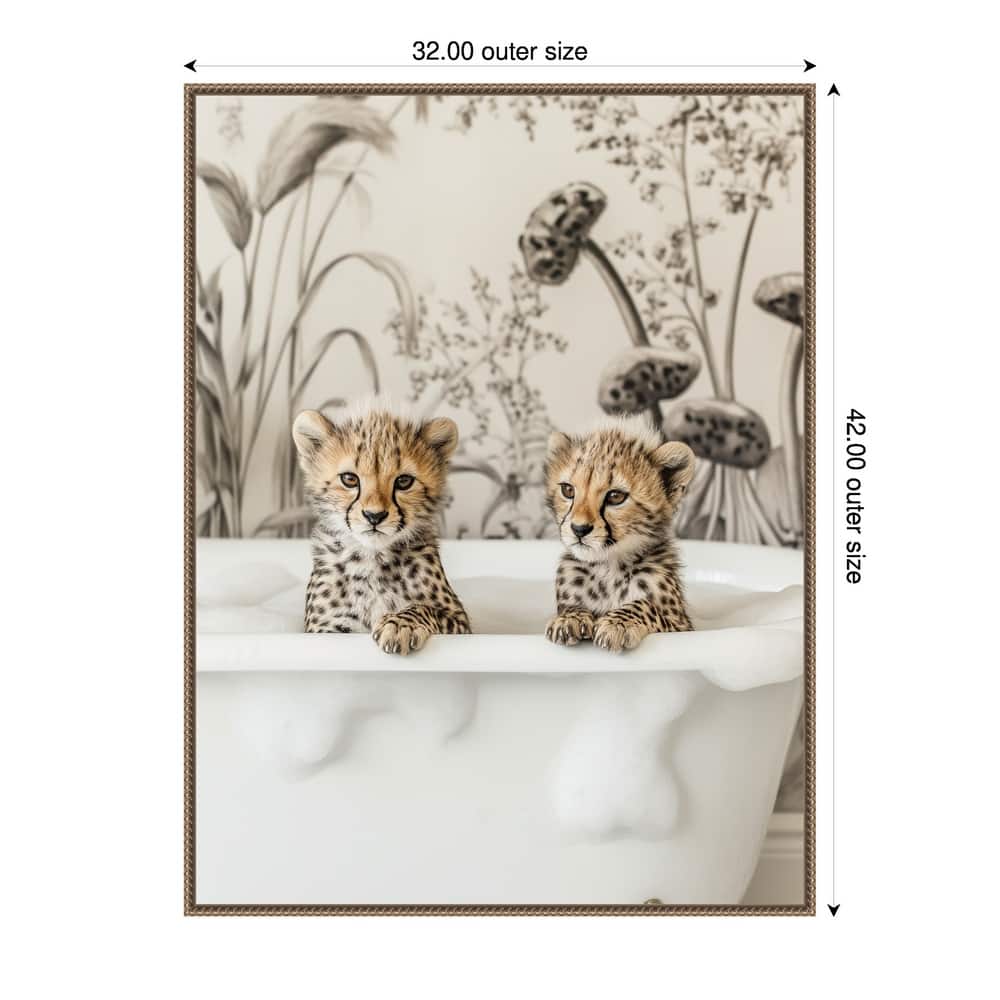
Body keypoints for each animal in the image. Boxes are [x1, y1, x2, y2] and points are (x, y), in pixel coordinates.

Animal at [292, 402, 470, 655]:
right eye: (349, 479)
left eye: (404, 481)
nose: (374, 516)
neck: (373, 558)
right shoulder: (325, 628)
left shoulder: (459, 619)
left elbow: (423, 607)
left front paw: (400, 625)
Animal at [543, 415, 696, 653]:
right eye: (567, 490)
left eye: (615, 496)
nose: (579, 529)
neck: (608, 566)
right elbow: (572, 608)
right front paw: (570, 618)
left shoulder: (682, 626)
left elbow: (645, 605)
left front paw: (618, 623)